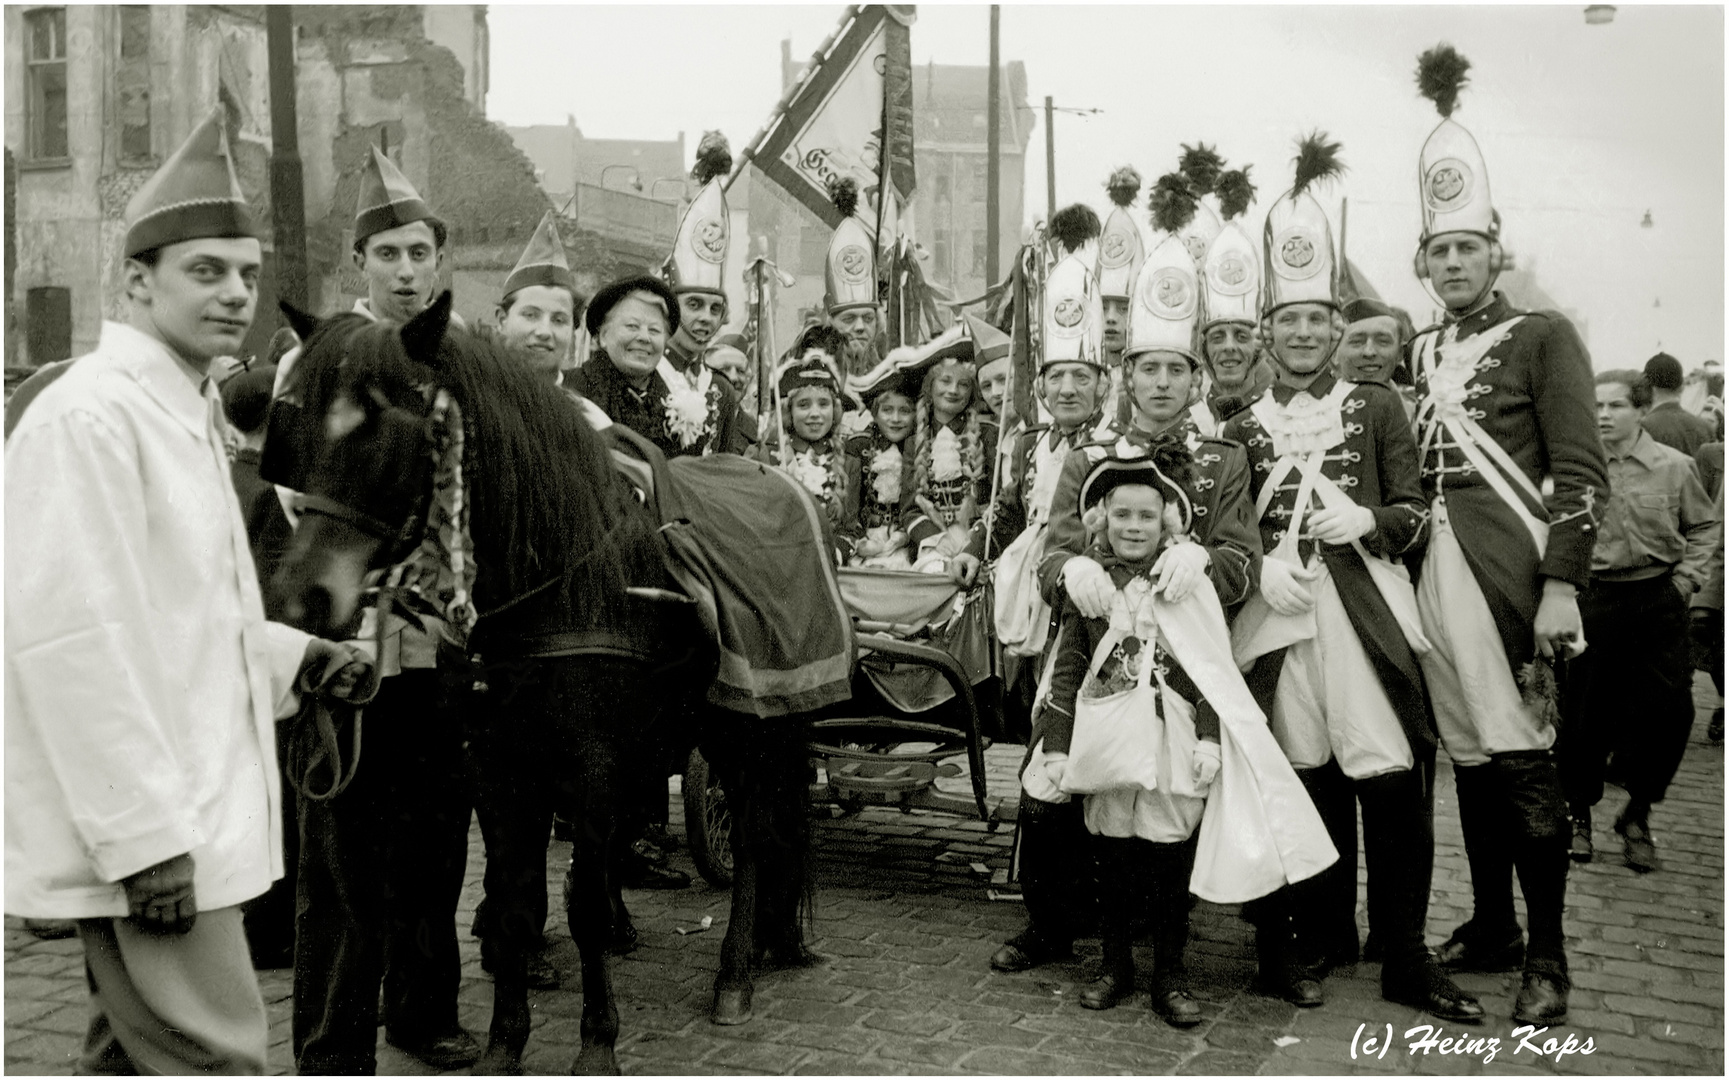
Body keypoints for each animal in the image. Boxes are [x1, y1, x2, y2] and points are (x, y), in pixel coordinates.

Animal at [267, 292, 816, 1071]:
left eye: (393, 427)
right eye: (294, 423)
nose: (302, 600)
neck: (561, 587)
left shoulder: (591, 766)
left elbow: (580, 903)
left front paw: (597, 1041)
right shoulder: (498, 769)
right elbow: (516, 902)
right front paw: (505, 1041)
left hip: (746, 731)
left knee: (753, 842)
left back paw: (735, 974)